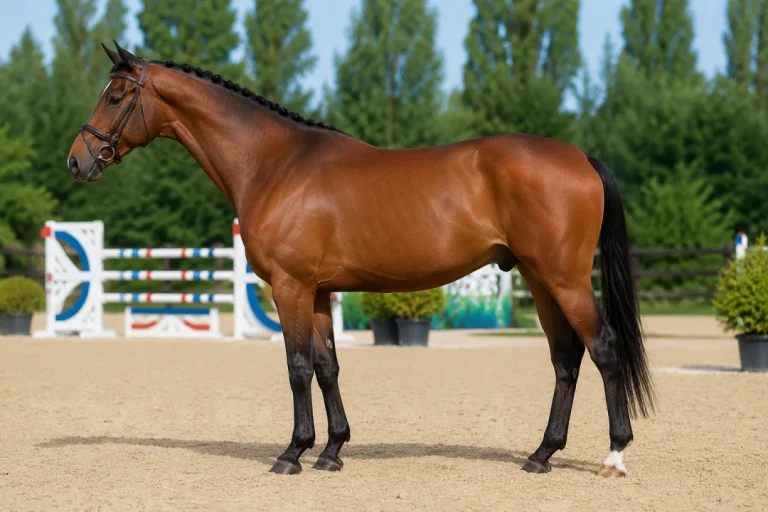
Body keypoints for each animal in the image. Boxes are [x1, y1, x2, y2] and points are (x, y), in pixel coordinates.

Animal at [67, 42, 654, 478]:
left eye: (116, 96)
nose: (78, 161)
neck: (276, 164)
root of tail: (580, 157)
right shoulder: (319, 291)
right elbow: (328, 366)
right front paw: (331, 451)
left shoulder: (290, 287)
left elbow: (297, 367)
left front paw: (292, 453)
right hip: (539, 278)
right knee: (565, 359)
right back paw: (541, 454)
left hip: (564, 278)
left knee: (603, 349)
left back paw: (614, 454)